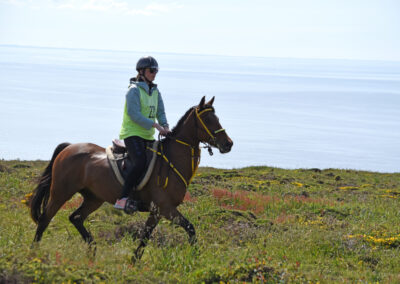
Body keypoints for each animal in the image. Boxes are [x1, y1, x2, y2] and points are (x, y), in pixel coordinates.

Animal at [29, 97, 233, 260]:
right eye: (208, 119)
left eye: (217, 118)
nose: (228, 144)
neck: (171, 159)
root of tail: (68, 148)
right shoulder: (165, 208)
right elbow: (189, 228)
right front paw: (196, 256)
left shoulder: (156, 212)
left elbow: (145, 237)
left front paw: (134, 261)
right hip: (61, 193)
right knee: (45, 219)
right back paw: (34, 253)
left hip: (94, 198)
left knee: (76, 217)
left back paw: (92, 248)